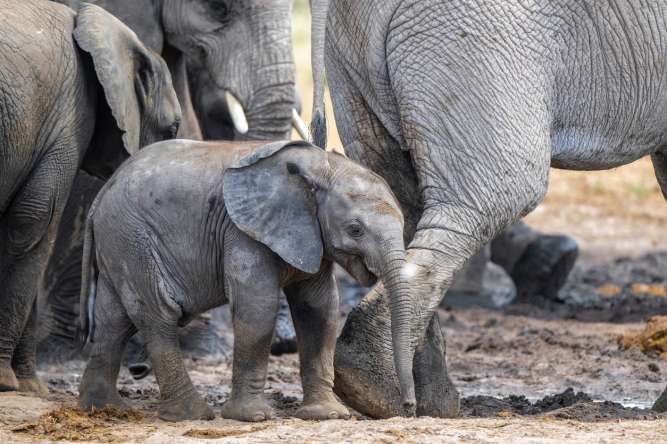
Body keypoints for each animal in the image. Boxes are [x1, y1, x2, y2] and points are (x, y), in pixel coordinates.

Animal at [0, 0, 180, 395]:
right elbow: (34, 226)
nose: (139, 371)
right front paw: (7, 382)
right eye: (173, 127)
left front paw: (30, 388)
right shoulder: (67, 117)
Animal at [76, 139, 413, 421]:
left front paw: (327, 415)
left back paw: (104, 408)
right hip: (134, 240)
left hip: (119, 244)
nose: (408, 407)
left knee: (114, 321)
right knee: (158, 315)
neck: (321, 166)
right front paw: (253, 417)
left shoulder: (309, 236)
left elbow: (320, 309)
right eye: (355, 229)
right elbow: (258, 307)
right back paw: (193, 415)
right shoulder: (241, 232)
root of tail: (99, 196)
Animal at [309, 0, 667, 417]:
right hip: (473, 36)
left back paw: (422, 400)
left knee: (398, 197)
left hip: (353, 60)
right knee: (497, 193)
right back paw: (379, 389)